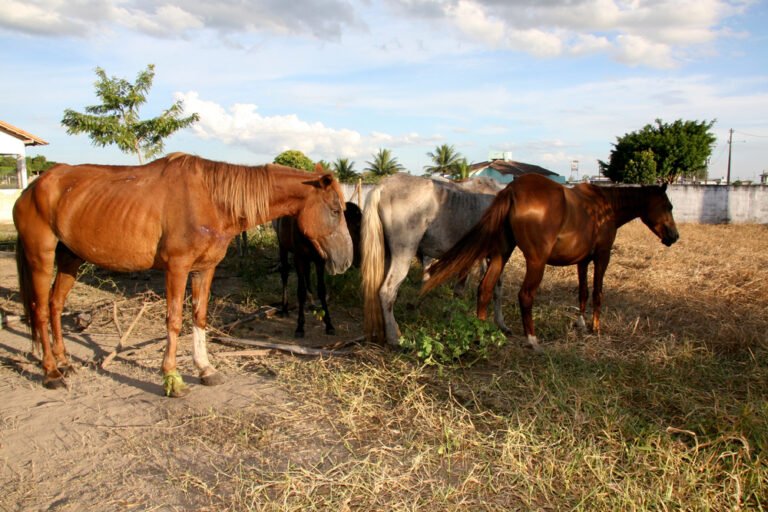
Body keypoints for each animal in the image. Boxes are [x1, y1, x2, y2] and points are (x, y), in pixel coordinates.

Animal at [13, 153, 353, 396]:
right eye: (335, 210)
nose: (346, 260)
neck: (211, 199)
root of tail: (31, 188)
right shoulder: (177, 268)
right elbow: (174, 320)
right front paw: (172, 378)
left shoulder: (204, 269)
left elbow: (199, 317)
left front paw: (205, 369)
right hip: (41, 257)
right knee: (39, 310)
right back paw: (51, 372)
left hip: (70, 258)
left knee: (55, 306)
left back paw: (64, 362)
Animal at [273, 201, 362, 337]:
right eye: (356, 227)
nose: (360, 259)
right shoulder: (299, 258)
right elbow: (301, 291)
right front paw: (300, 327)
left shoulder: (319, 259)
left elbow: (321, 290)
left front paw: (329, 325)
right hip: (282, 246)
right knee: (285, 274)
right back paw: (284, 308)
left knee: (307, 274)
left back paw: (312, 304)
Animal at [361, 173, 507, 346]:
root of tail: (383, 186)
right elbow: (491, 287)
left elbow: (472, 288)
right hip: (403, 254)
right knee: (387, 291)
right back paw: (394, 339)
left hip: (388, 255)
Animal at [421, 173, 679, 351]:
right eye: (669, 206)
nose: (674, 236)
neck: (605, 207)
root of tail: (512, 190)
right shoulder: (602, 256)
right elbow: (597, 292)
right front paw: (596, 328)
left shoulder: (582, 260)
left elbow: (583, 292)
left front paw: (581, 323)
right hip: (536, 261)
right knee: (525, 295)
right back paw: (533, 340)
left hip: (501, 254)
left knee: (484, 289)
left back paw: (481, 332)